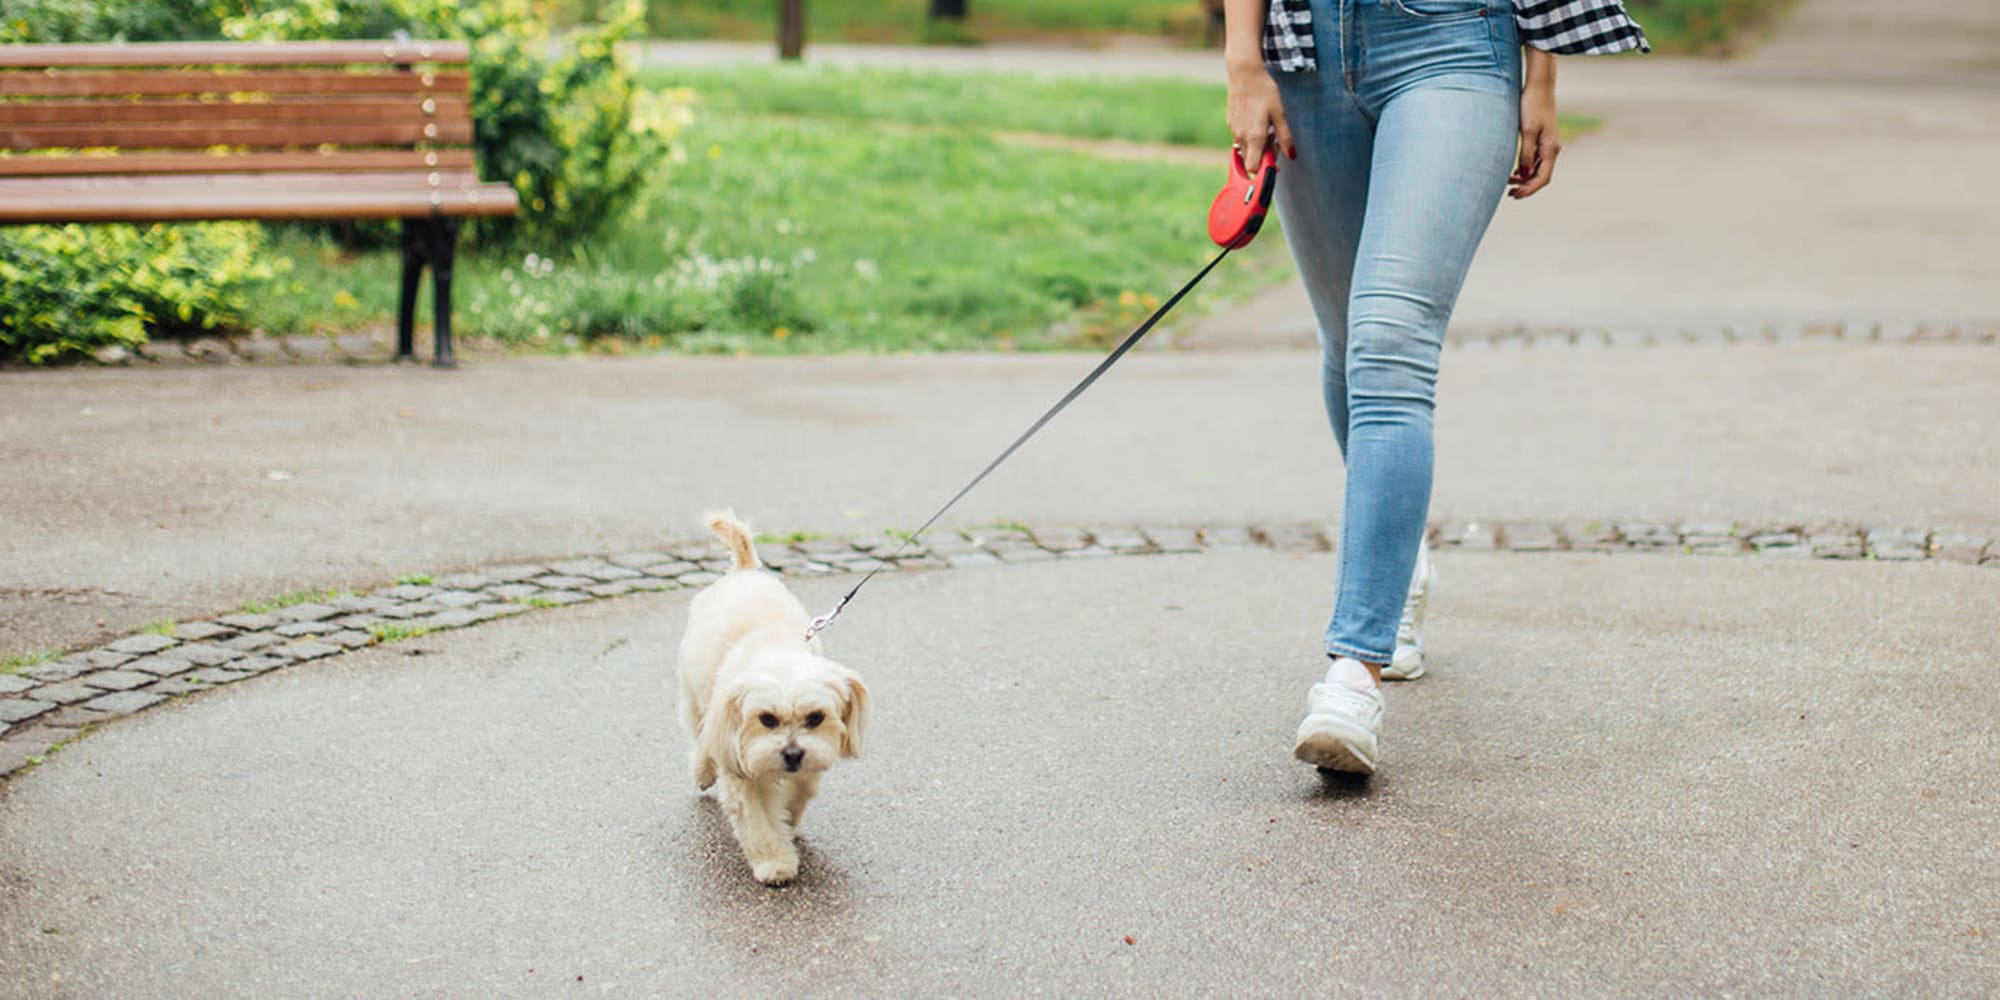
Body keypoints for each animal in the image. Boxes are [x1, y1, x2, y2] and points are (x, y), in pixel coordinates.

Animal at [680, 512, 868, 888]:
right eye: (766, 718)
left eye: (815, 717)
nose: (793, 754)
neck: (775, 648)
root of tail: (745, 570)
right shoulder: (740, 765)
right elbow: (757, 822)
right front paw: (775, 862)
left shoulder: (808, 768)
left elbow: (795, 799)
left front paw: (787, 827)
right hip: (697, 699)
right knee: (703, 736)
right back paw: (703, 769)